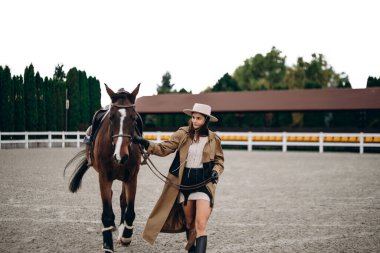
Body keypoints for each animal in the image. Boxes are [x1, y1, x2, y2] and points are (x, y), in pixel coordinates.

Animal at [64, 83, 142, 253]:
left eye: (134, 118)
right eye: (111, 117)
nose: (121, 155)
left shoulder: (132, 177)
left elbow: (130, 209)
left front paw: (126, 235)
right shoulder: (104, 177)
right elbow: (106, 212)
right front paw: (107, 244)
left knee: (122, 200)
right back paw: (112, 227)